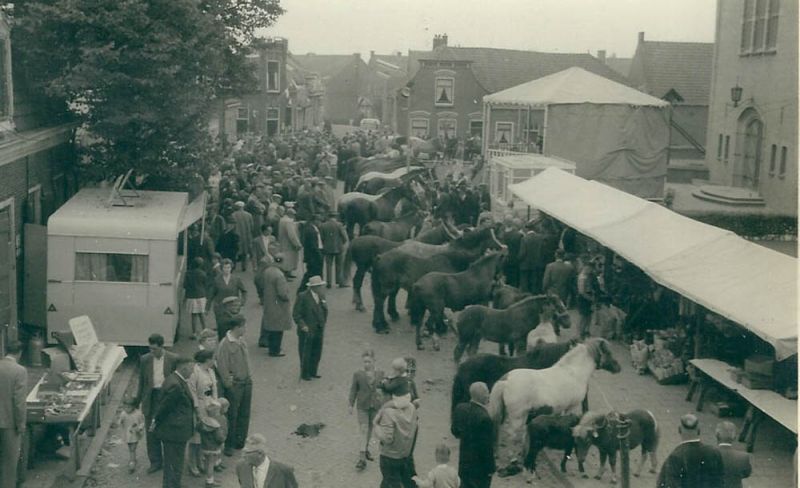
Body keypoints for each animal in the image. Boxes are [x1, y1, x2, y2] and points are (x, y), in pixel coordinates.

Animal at [370, 227, 506, 334]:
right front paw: (441, 327)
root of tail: (380, 257)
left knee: (383, 299)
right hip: (386, 287)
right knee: (379, 302)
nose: (503, 247)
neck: (453, 260)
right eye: (491, 237)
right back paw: (381, 326)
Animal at [484, 340, 620, 468]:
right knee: (511, 434)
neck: (573, 373)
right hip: (517, 417)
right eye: (608, 353)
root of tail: (506, 381)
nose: (618, 367)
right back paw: (513, 458)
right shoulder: (570, 408)